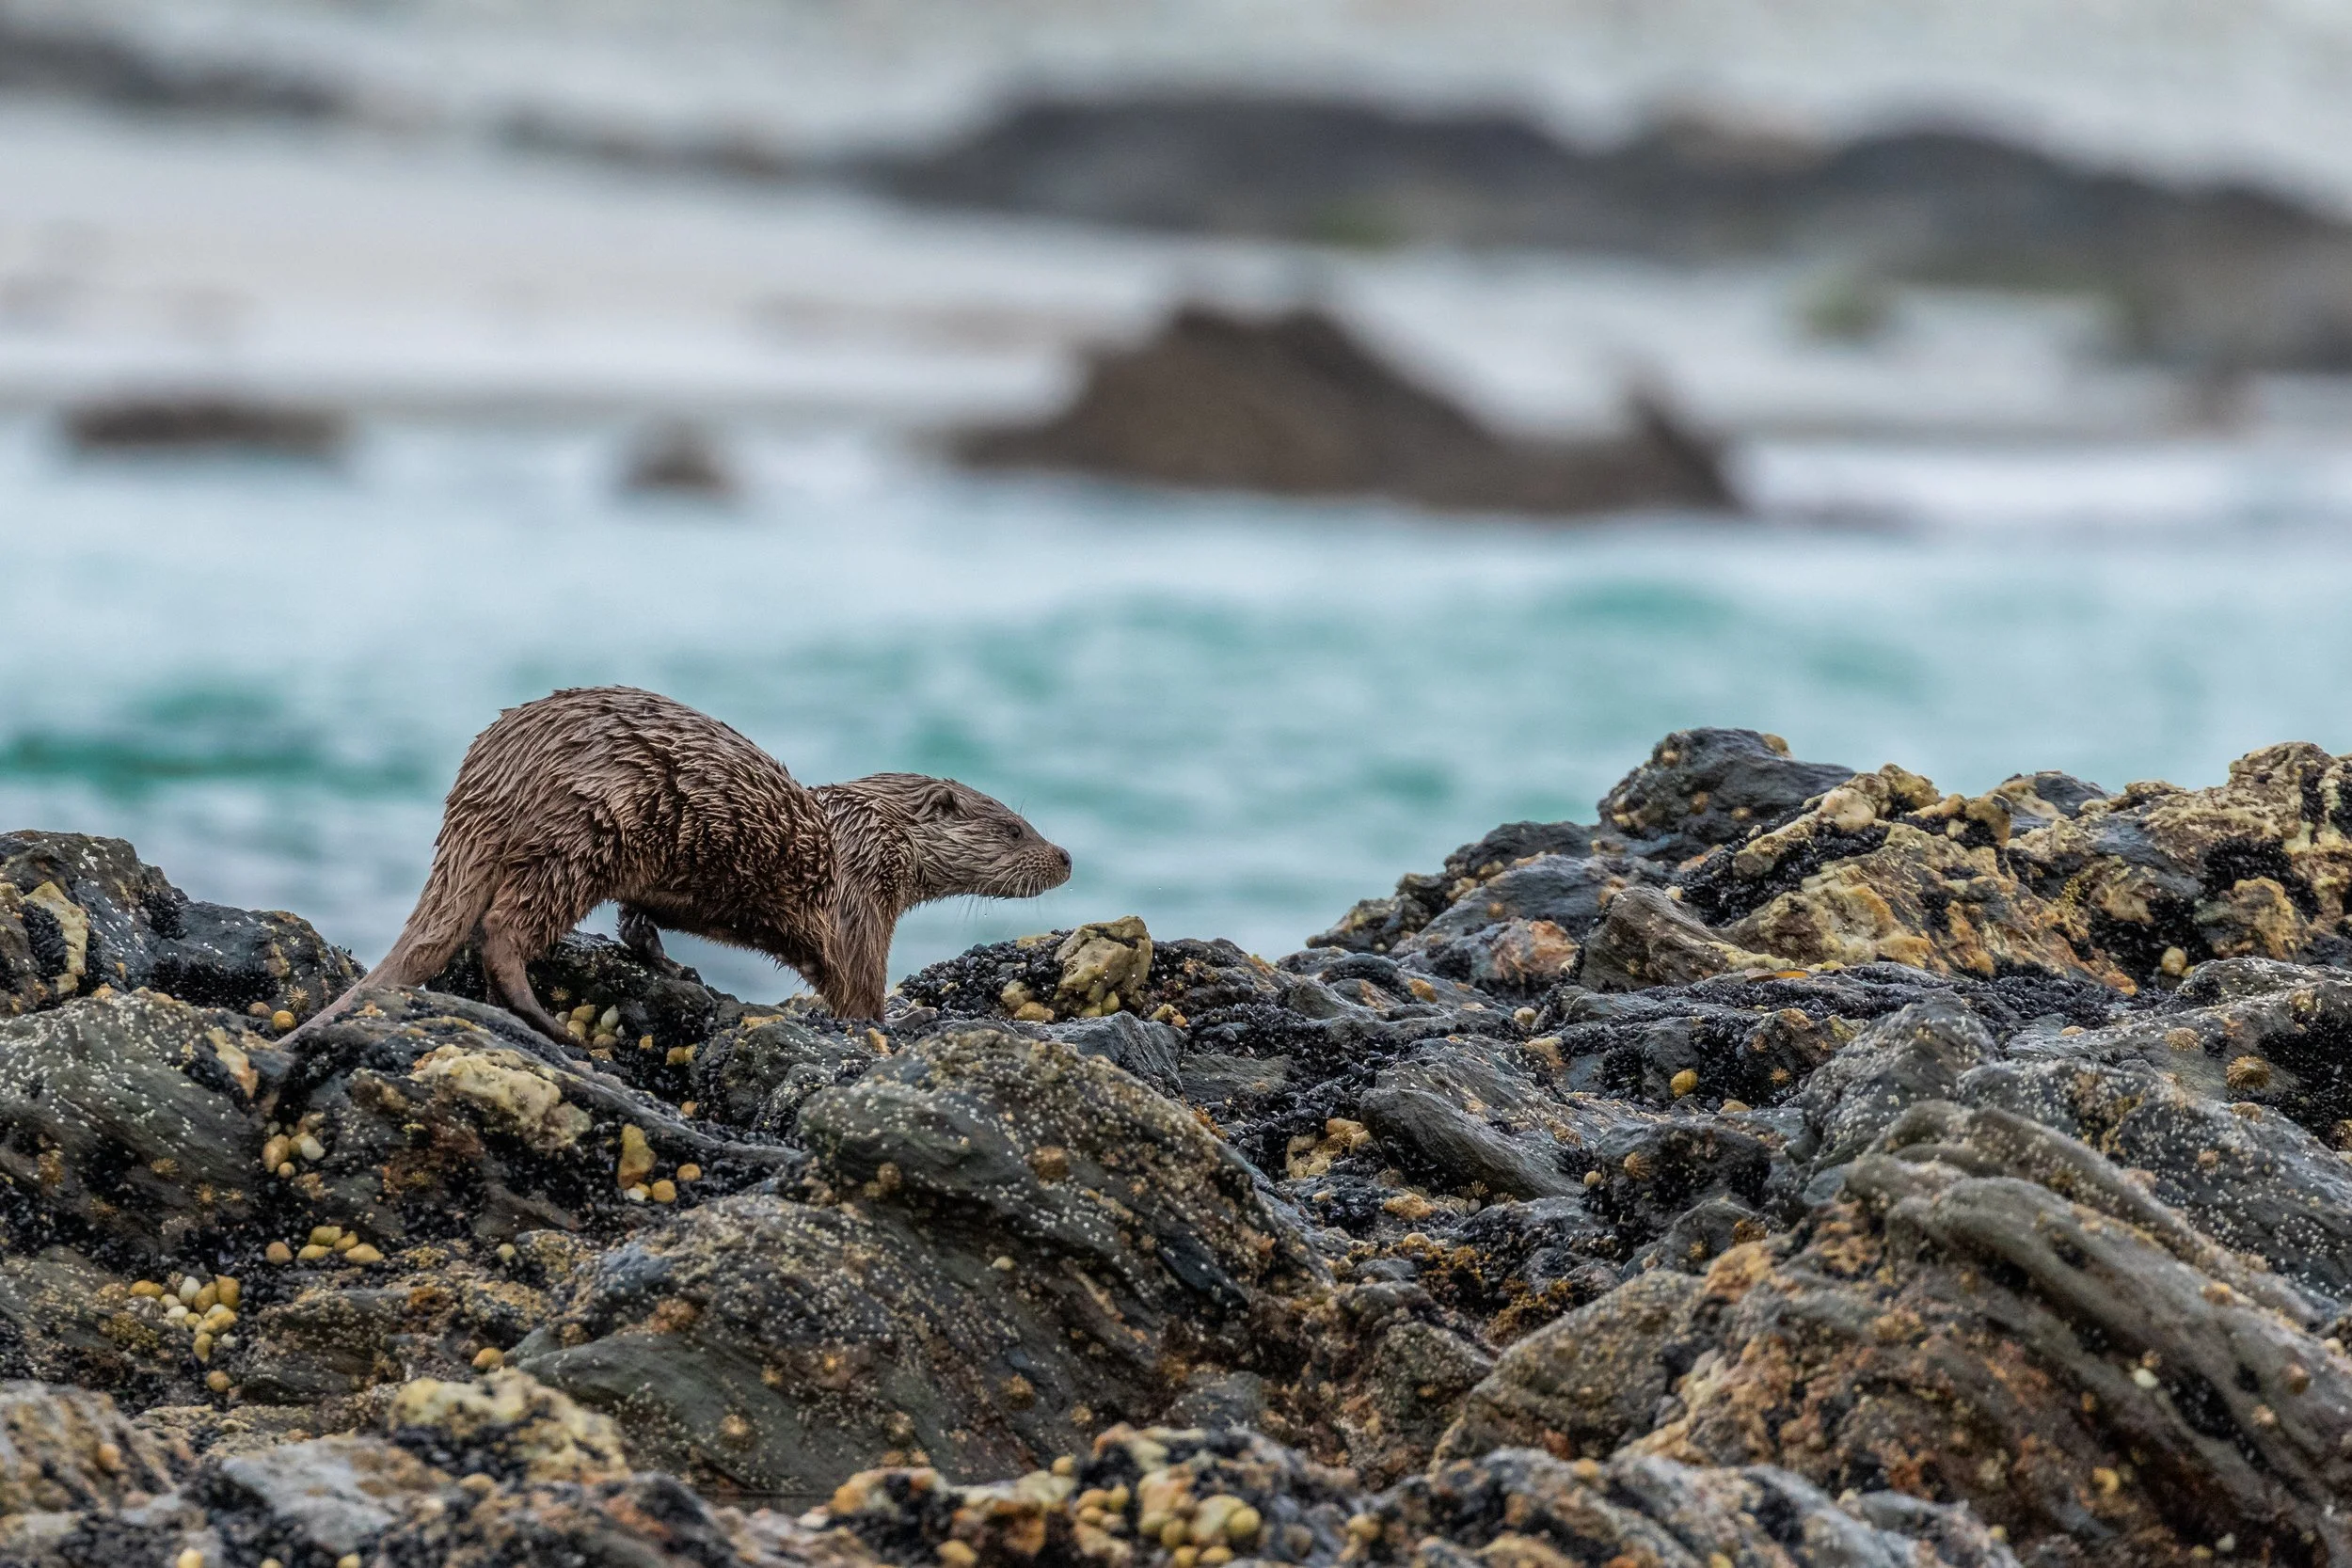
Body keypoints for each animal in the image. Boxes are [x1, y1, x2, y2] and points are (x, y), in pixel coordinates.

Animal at [293, 686, 1070, 1044]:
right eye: (1013, 827)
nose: (1064, 854)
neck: (868, 832)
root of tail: (493, 776)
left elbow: (637, 922)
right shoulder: (859, 903)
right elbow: (859, 989)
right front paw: (896, 1020)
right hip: (582, 834)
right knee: (504, 932)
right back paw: (548, 1021)